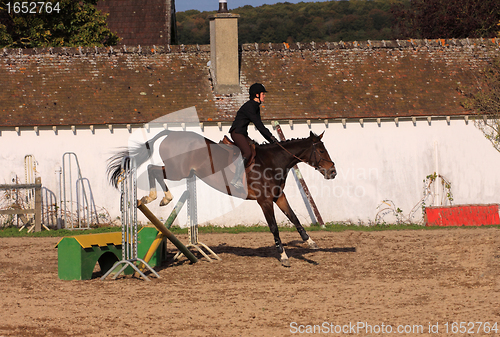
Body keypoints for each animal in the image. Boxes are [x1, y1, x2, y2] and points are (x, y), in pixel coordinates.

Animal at [108, 129, 338, 266]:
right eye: (320, 150)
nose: (333, 172)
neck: (273, 162)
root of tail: (171, 133)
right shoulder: (264, 201)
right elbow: (274, 226)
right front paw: (283, 256)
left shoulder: (278, 197)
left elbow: (295, 218)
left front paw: (310, 243)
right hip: (177, 170)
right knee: (153, 169)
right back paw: (159, 197)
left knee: (154, 169)